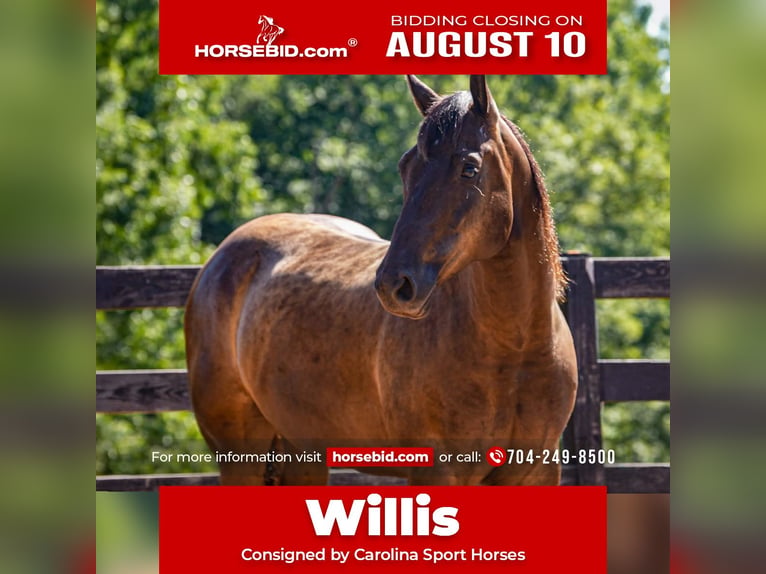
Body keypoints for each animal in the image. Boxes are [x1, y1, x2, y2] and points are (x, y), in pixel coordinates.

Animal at [184, 75, 577, 486]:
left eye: (469, 168)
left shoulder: (539, 471)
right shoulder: (435, 472)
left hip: (302, 453)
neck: (514, 351)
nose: (394, 285)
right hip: (240, 454)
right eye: (406, 167)